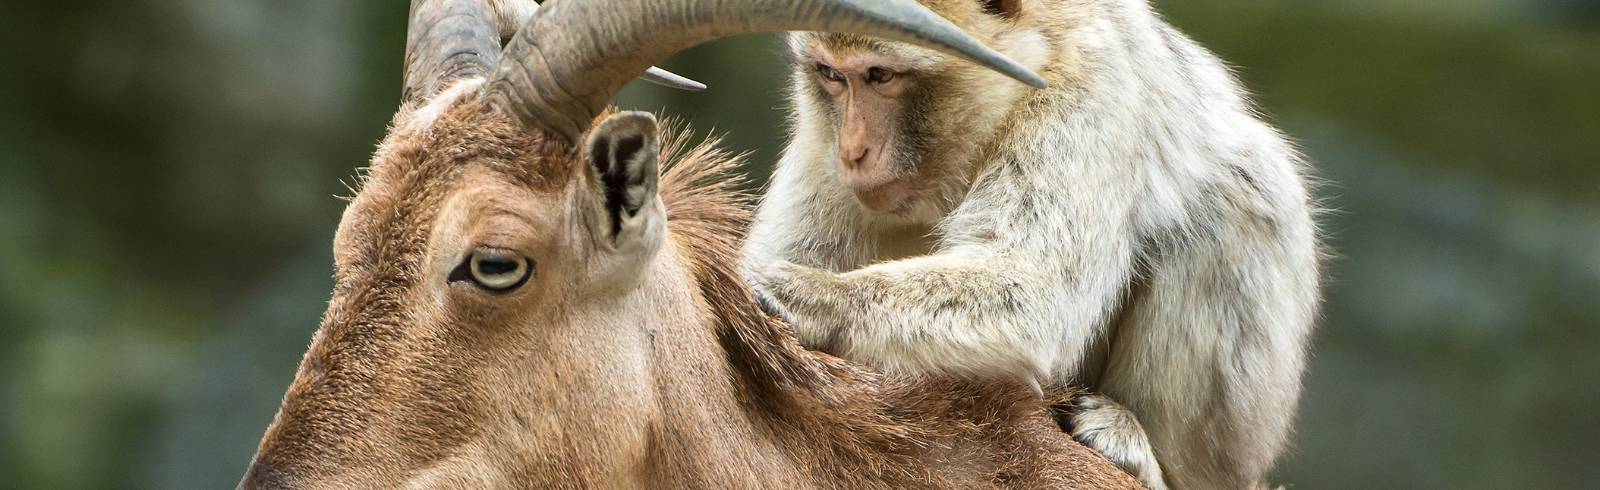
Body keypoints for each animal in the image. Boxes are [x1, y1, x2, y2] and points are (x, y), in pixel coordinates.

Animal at [742, 1, 1318, 486]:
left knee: (1239, 194)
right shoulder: (820, 137)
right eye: (831, 75)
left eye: (879, 75)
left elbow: (1034, 293)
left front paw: (809, 297)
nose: (853, 151)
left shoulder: (1087, 98)